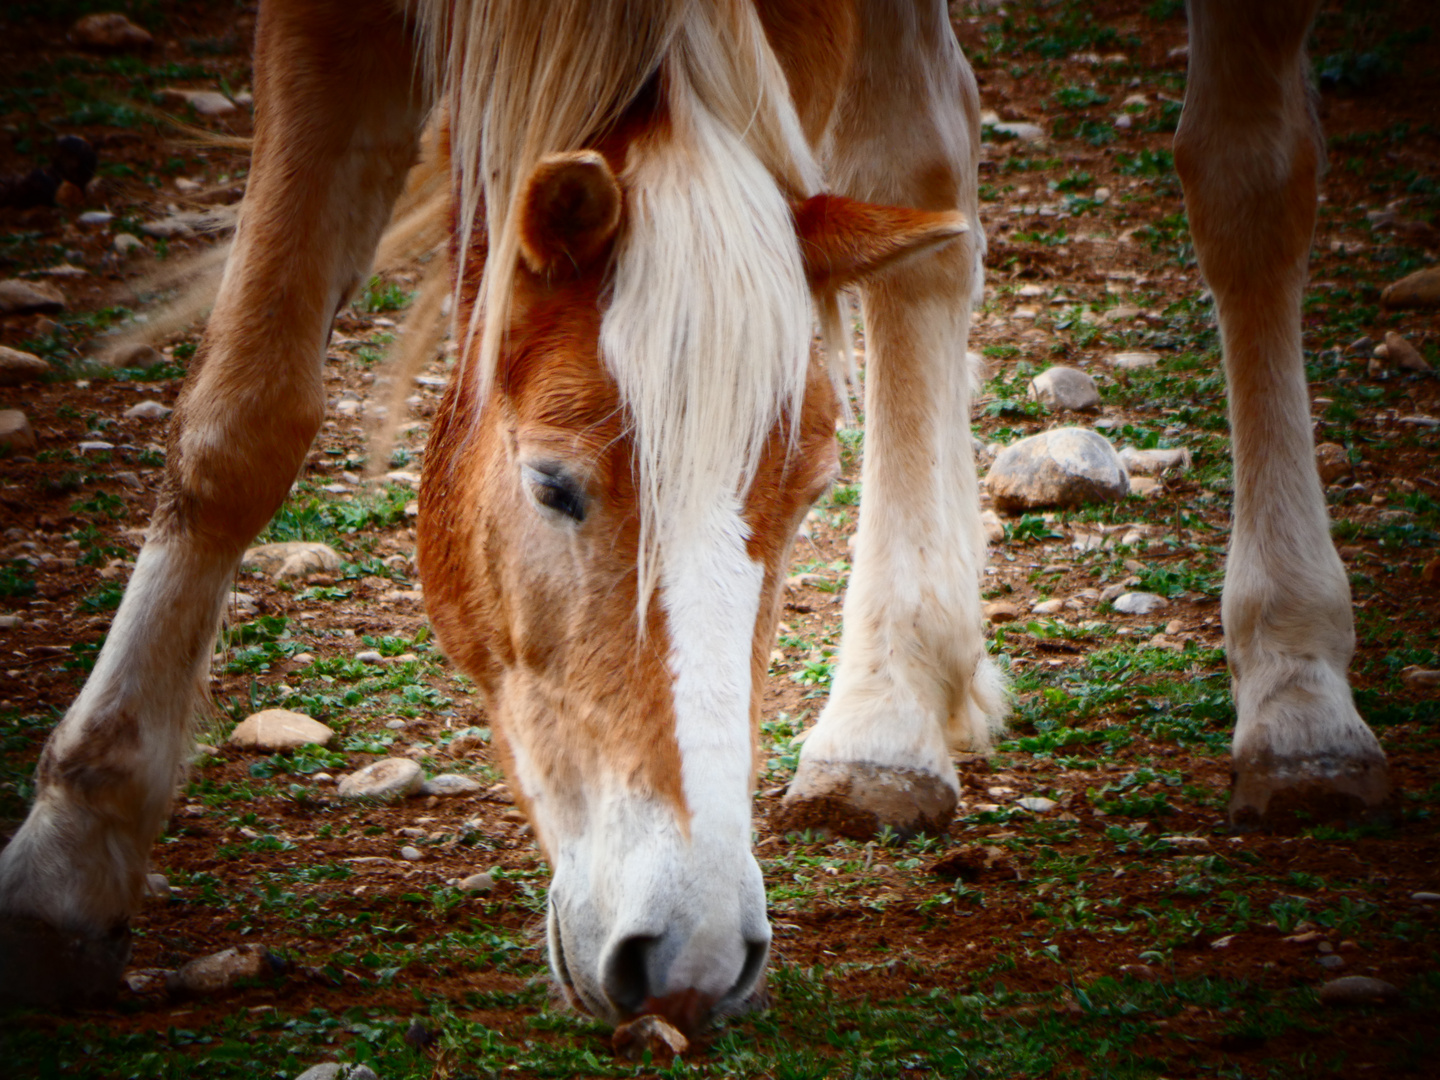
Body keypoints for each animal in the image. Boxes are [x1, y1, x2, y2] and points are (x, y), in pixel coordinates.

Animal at [0, 0, 1393, 1042]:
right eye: (552, 483)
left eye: (808, 493)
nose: (688, 955)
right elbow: (244, 410)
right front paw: (69, 856)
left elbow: (1246, 168)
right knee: (920, 155)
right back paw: (888, 722)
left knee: (1244, 174)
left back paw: (1295, 699)